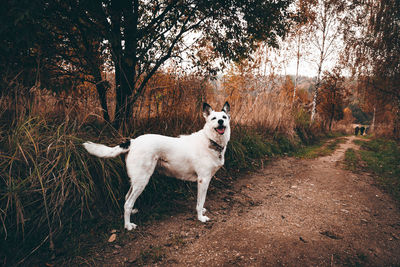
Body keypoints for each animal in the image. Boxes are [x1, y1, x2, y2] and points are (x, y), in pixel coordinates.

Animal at [83, 102, 230, 230]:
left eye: (224, 117)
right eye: (213, 118)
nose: (221, 122)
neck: (210, 140)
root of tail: (133, 141)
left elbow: (201, 201)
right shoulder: (203, 180)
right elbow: (200, 202)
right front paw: (201, 217)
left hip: (136, 180)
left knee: (126, 198)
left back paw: (132, 213)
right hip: (142, 180)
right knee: (127, 203)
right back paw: (128, 225)